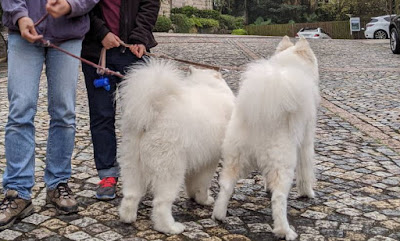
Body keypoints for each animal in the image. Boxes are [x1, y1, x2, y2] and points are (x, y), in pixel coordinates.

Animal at [116, 59, 234, 234]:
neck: (207, 84)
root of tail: (156, 110)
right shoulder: (209, 162)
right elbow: (203, 184)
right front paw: (204, 200)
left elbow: (193, 183)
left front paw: (193, 197)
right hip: (170, 170)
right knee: (160, 204)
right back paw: (171, 227)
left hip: (132, 164)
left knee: (131, 195)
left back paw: (128, 218)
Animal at [211, 36, 320, 241]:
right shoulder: (306, 143)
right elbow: (305, 173)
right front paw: (307, 193)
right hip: (284, 164)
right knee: (279, 199)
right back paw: (285, 231)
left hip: (234, 159)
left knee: (226, 186)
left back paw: (219, 215)